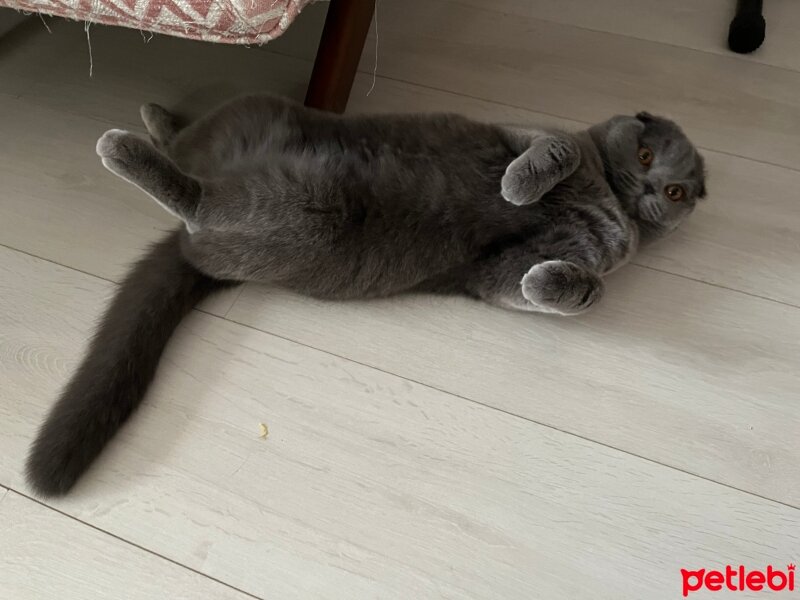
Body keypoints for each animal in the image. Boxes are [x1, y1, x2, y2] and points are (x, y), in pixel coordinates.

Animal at [23, 96, 708, 494]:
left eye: (676, 191)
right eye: (645, 152)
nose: (652, 187)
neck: (610, 198)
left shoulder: (504, 273)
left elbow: (550, 284)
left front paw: (558, 282)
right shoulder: (530, 133)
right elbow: (554, 151)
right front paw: (519, 187)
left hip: (309, 224)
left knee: (200, 200)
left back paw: (141, 144)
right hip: (257, 122)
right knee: (188, 165)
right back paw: (138, 131)